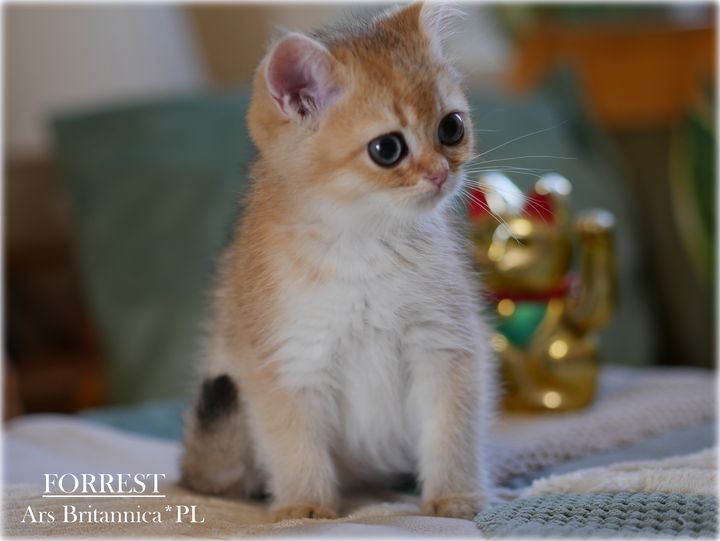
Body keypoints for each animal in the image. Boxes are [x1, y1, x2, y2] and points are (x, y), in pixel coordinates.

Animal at [181, 2, 496, 521]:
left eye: (451, 127)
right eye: (387, 149)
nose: (440, 173)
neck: (365, 245)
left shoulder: (445, 346)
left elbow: (451, 434)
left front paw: (454, 497)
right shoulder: (288, 362)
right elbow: (296, 446)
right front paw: (305, 507)